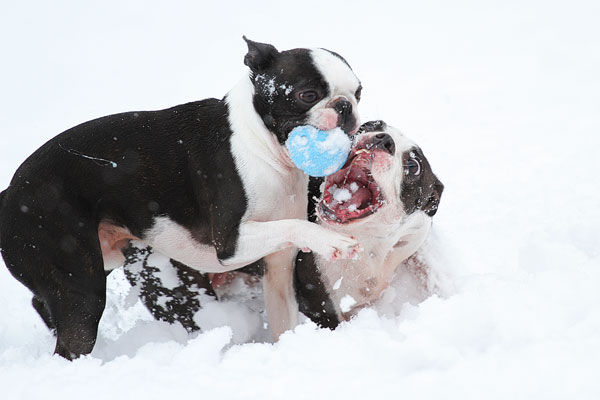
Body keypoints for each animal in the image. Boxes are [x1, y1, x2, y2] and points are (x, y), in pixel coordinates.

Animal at [0, 38, 360, 360]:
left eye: (358, 92)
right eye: (307, 95)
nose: (345, 106)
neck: (264, 148)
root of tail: (9, 194)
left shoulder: (278, 268)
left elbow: (284, 321)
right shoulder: (230, 243)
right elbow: (295, 225)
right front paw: (331, 241)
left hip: (95, 263)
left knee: (42, 303)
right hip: (82, 285)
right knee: (71, 340)